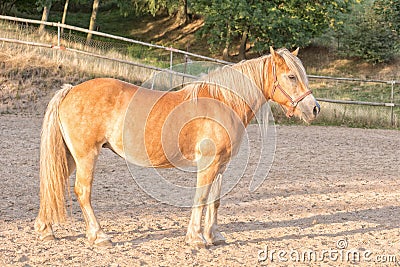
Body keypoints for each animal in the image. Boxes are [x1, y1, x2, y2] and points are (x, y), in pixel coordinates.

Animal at [35, 47, 322, 248]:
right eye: (291, 76)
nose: (314, 109)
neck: (222, 102)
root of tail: (71, 90)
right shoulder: (208, 163)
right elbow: (201, 198)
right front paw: (196, 238)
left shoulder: (221, 165)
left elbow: (215, 200)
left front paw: (214, 235)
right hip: (86, 156)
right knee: (82, 191)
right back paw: (99, 236)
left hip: (70, 156)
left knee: (53, 183)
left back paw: (45, 229)